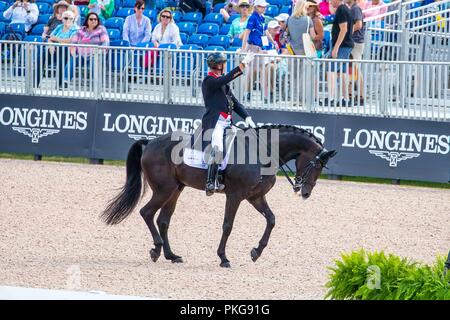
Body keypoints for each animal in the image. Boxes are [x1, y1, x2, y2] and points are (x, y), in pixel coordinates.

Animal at [101, 125, 334, 268]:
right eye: (316, 165)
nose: (305, 192)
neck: (260, 152)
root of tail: (149, 143)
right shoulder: (235, 195)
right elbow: (228, 226)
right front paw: (223, 258)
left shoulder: (255, 197)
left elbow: (271, 220)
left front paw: (256, 252)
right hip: (163, 190)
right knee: (147, 213)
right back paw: (156, 250)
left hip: (176, 189)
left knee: (163, 220)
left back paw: (171, 255)